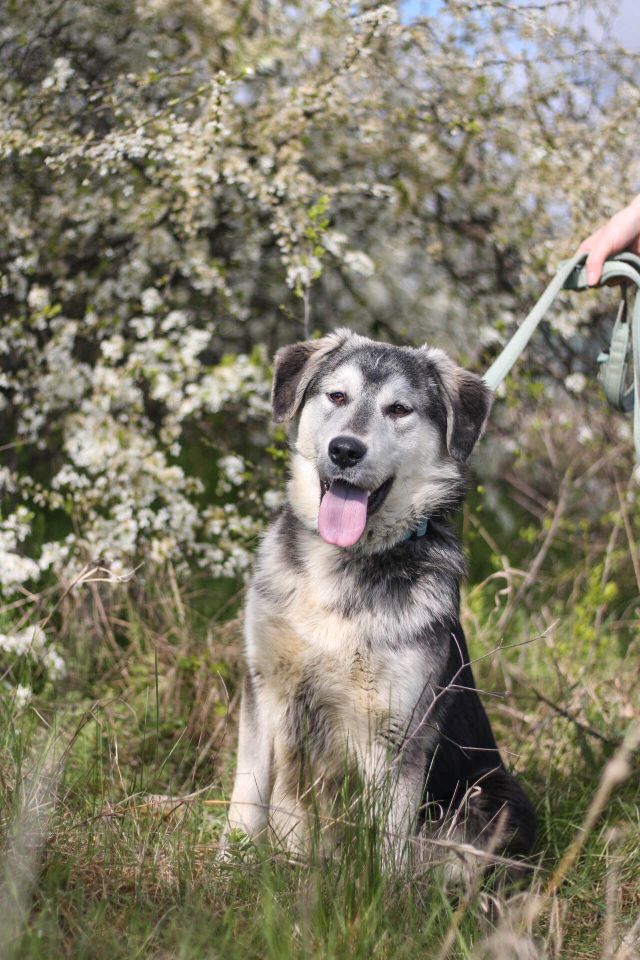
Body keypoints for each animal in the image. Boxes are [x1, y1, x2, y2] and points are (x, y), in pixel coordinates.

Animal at [225, 330, 536, 876]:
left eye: (399, 409)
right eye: (336, 396)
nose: (345, 450)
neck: (341, 568)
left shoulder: (396, 730)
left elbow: (386, 842)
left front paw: (377, 896)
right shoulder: (263, 685)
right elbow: (248, 796)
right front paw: (225, 866)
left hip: (497, 798)